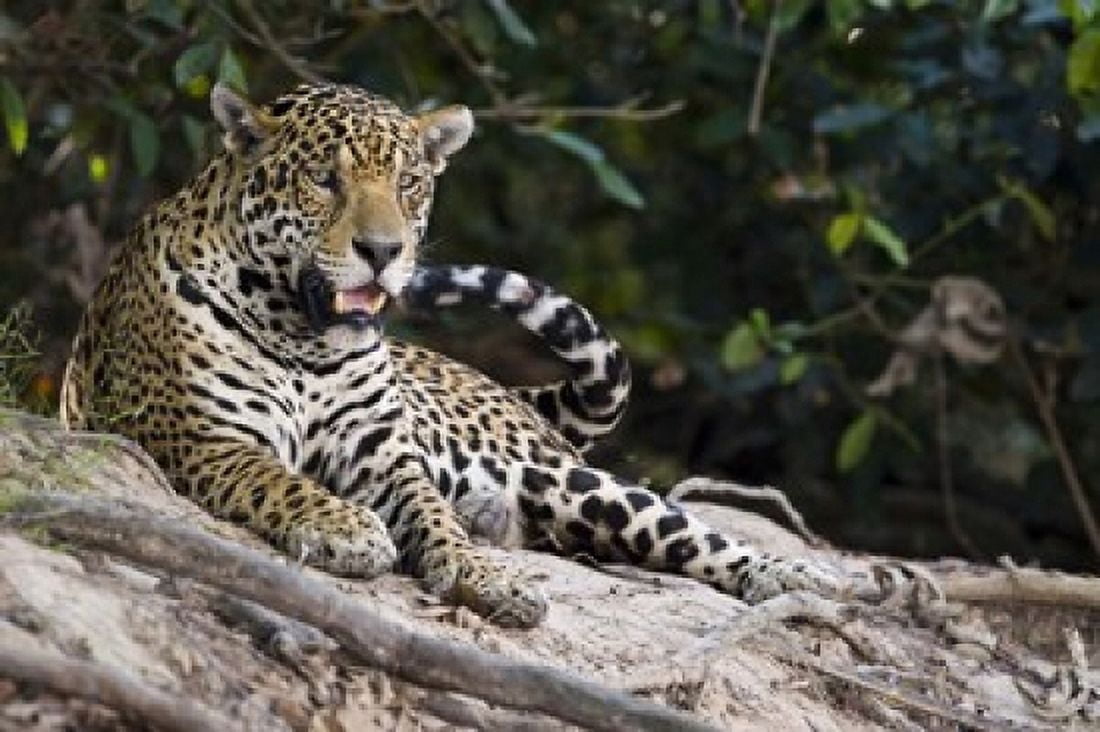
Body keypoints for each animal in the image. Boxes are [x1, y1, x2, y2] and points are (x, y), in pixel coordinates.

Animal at [60, 82, 843, 627]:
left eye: (408, 182)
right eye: (324, 179)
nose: (384, 252)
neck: (303, 337)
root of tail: (508, 388)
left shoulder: (384, 456)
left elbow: (431, 513)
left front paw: (483, 575)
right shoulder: (204, 437)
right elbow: (280, 478)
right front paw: (347, 527)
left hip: (571, 479)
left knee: (694, 535)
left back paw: (802, 580)